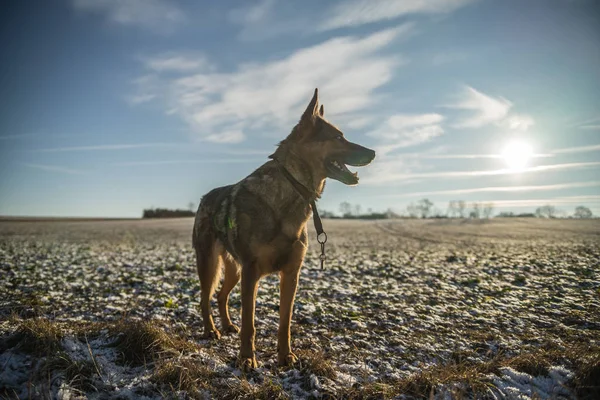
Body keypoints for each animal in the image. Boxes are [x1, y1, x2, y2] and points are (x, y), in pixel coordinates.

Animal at [193, 89, 376, 370]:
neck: (292, 187)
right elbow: (250, 323)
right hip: (210, 264)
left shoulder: (291, 273)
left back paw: (227, 325)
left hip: (234, 270)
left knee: (221, 296)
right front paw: (247, 358)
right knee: (204, 298)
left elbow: (285, 323)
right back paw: (211, 330)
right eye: (338, 137)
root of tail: (204, 199)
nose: (374, 152)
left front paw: (285, 356)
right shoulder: (251, 272)